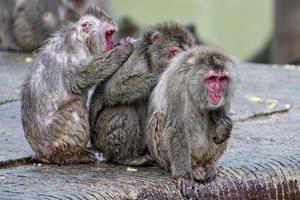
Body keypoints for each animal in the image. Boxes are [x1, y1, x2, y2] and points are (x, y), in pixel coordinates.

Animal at [20, 7, 134, 164]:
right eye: (109, 32)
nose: (113, 43)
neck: (83, 39)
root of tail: (39, 152)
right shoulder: (75, 51)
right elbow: (82, 78)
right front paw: (123, 50)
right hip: (54, 136)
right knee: (75, 107)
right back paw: (72, 156)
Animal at [88, 22, 197, 166]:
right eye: (173, 53)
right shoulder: (138, 57)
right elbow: (114, 89)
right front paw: (160, 76)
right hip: (103, 141)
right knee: (123, 110)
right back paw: (126, 158)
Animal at [146, 46, 236, 197]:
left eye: (222, 79)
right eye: (212, 79)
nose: (218, 93)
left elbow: (221, 115)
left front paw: (223, 124)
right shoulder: (177, 83)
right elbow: (175, 126)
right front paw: (184, 177)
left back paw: (210, 164)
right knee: (159, 117)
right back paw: (192, 169)